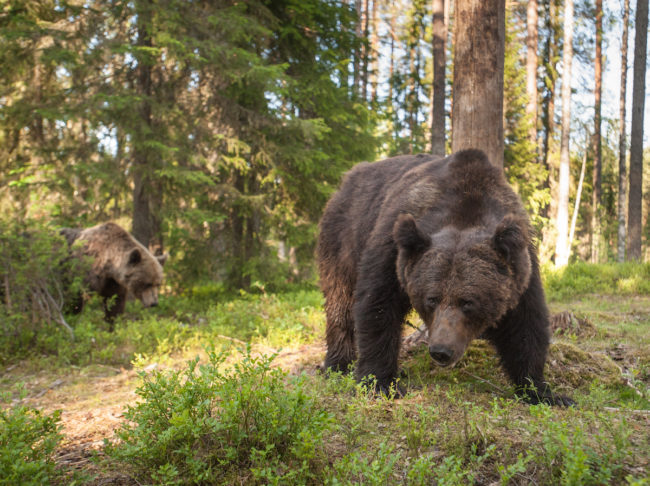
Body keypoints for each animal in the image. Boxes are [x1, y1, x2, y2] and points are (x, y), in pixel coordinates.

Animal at [318, 149, 572, 406]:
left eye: (468, 302)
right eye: (431, 299)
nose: (441, 350)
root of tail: (347, 179)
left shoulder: (520, 269)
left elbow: (525, 325)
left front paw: (543, 391)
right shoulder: (394, 248)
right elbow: (378, 306)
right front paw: (379, 383)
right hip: (343, 237)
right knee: (340, 302)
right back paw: (337, 365)